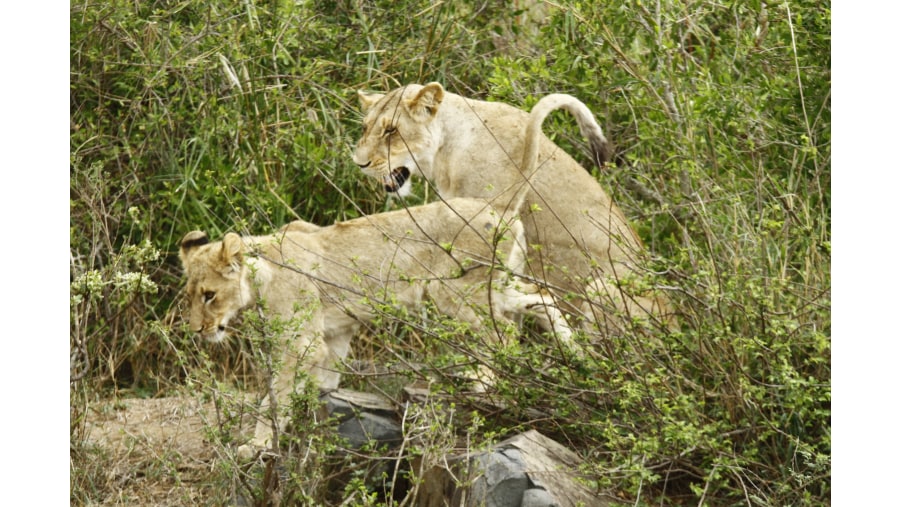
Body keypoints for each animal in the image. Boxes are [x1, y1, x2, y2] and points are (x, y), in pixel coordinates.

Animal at [179, 197, 572, 456]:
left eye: (210, 295)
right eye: (191, 296)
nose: (196, 331)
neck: (261, 274)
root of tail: (504, 212)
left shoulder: (299, 341)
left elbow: (273, 398)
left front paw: (256, 444)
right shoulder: (334, 333)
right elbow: (326, 376)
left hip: (453, 293)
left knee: (503, 334)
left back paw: (484, 387)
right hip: (497, 287)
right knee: (544, 298)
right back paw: (576, 355)